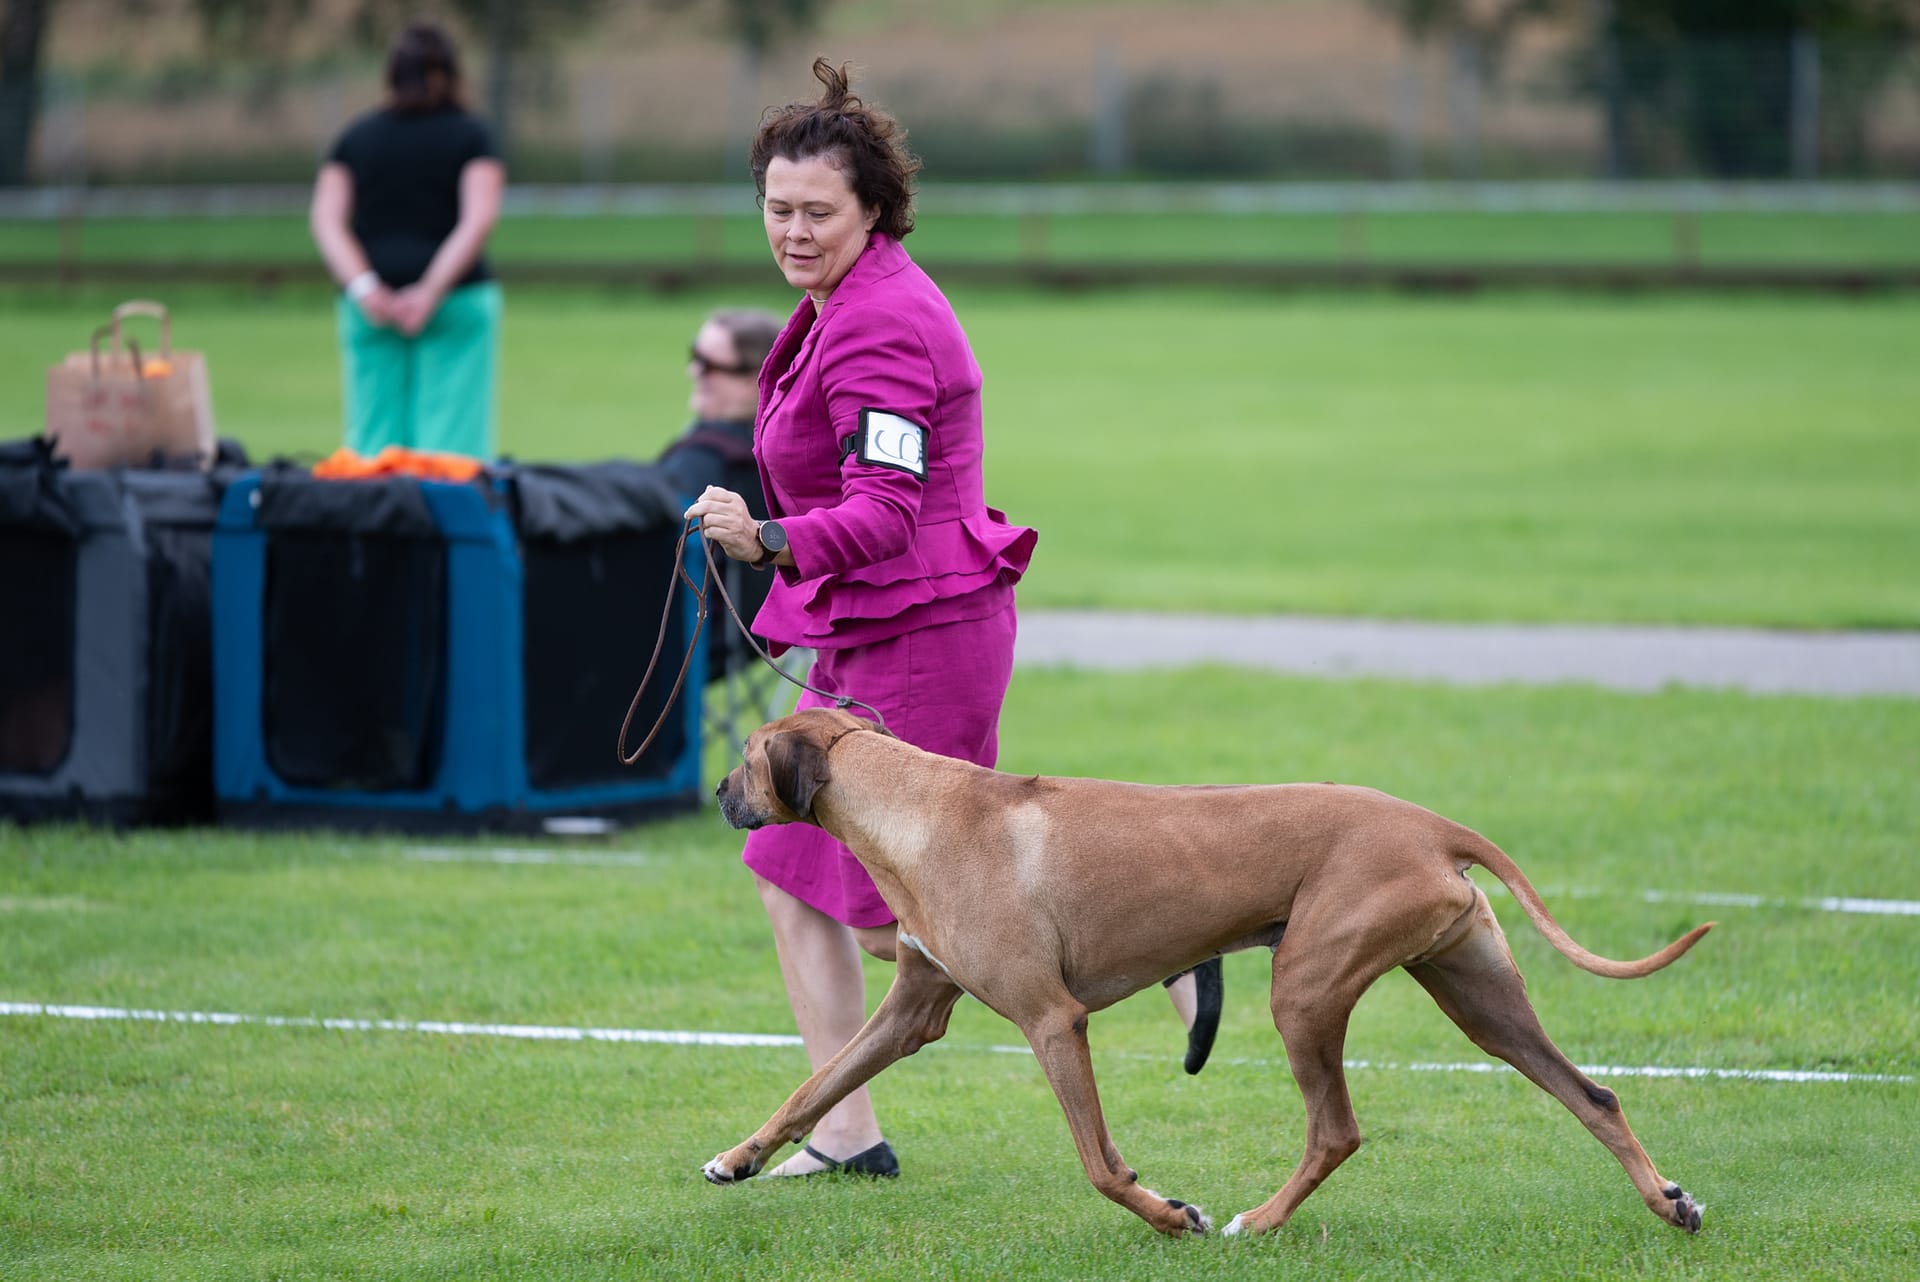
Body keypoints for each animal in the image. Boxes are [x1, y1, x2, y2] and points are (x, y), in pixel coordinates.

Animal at [703, 707, 1711, 1239]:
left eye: (744, 757)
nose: (715, 793)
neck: (917, 806)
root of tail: (1432, 825)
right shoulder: (912, 1008)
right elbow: (812, 1088)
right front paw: (737, 1158)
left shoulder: (1051, 1020)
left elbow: (1099, 1164)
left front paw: (1169, 1212)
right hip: (1480, 997)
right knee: (1594, 1095)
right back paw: (1668, 1201)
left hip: (1306, 988)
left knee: (1336, 1131)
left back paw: (1257, 1222)